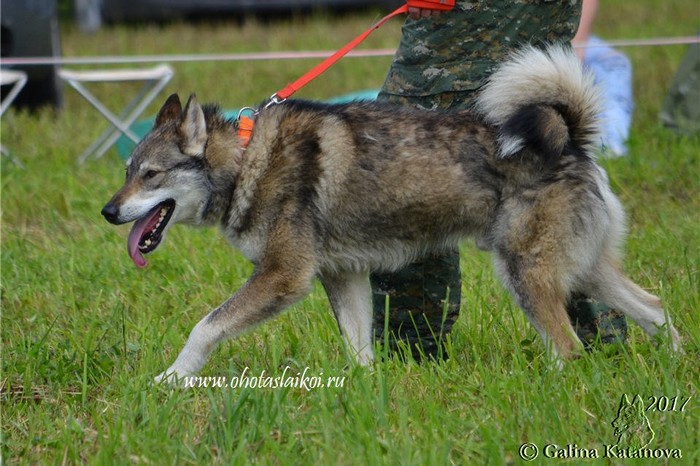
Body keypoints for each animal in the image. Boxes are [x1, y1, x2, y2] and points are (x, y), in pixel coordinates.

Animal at [101, 45, 680, 383]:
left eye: (151, 175)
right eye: (126, 170)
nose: (108, 211)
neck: (247, 160)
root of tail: (572, 141)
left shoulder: (282, 277)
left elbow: (204, 328)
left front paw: (171, 381)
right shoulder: (344, 276)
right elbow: (359, 349)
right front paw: (362, 395)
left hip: (528, 275)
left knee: (571, 347)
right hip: (586, 270)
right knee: (654, 309)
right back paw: (678, 366)